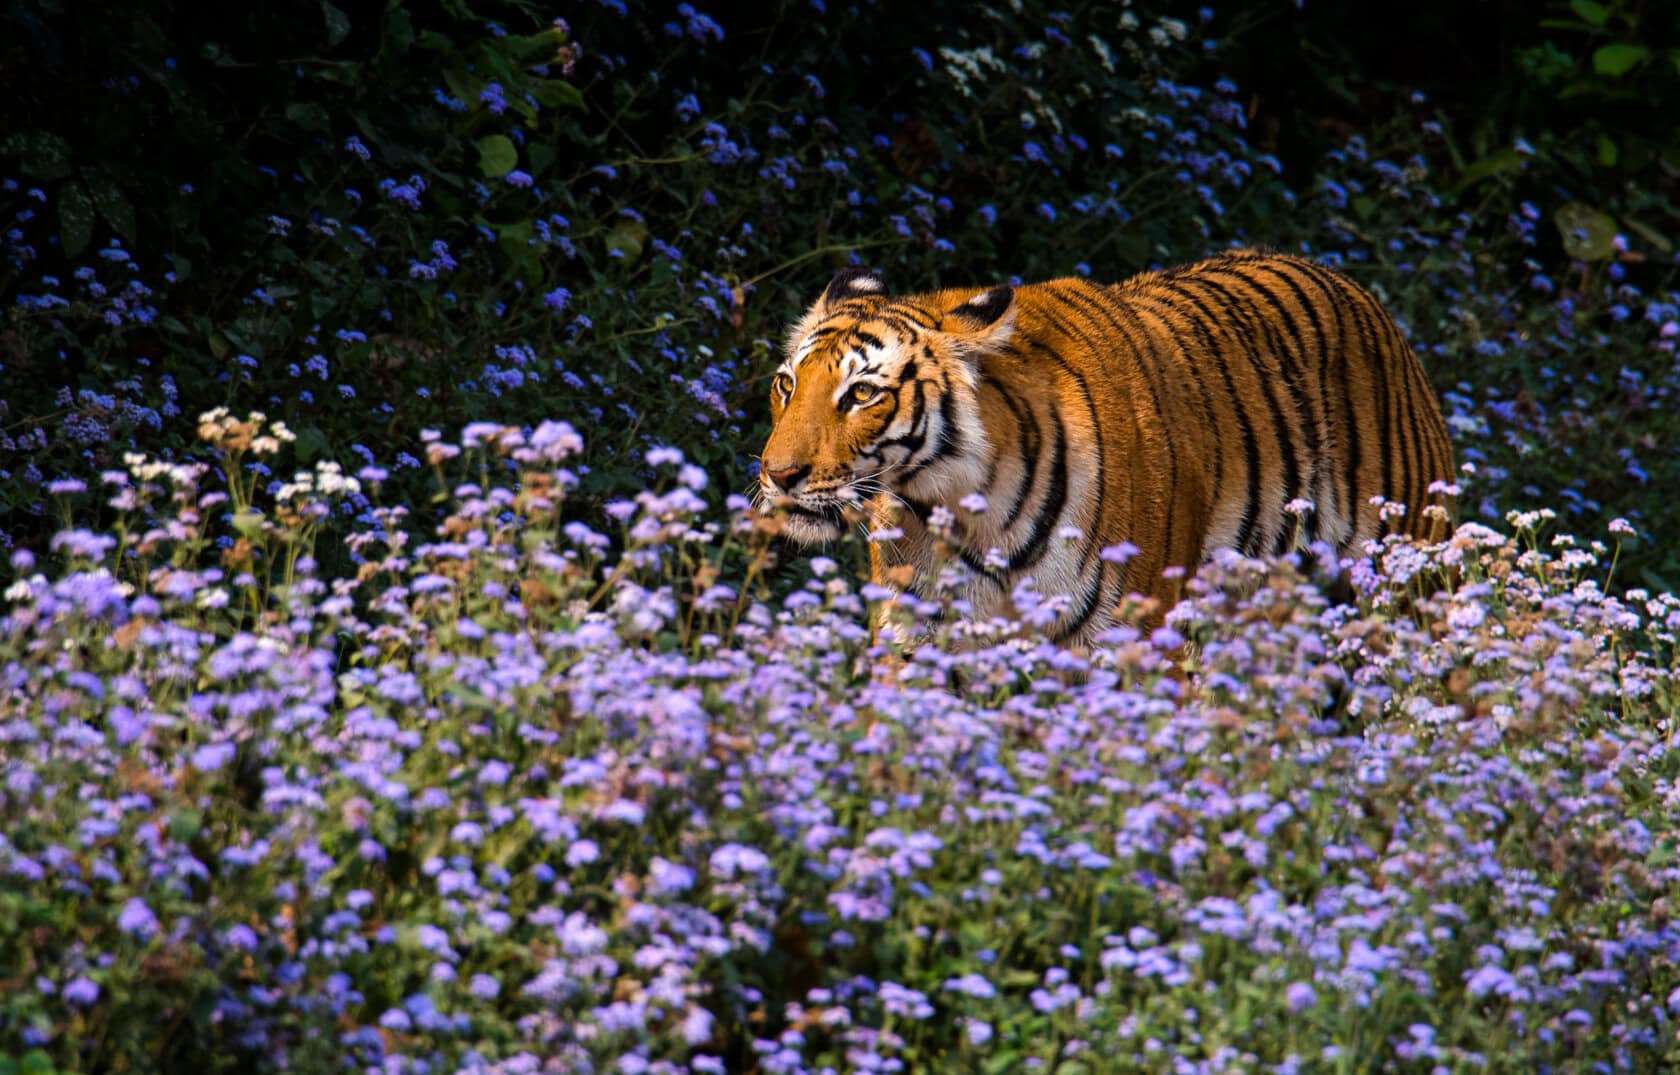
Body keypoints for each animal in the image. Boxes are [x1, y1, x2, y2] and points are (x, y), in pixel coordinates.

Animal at [757, 249, 1456, 646]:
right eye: (787, 384)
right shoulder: (917, 631)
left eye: (861, 394)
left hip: (1412, 583)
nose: (777, 475)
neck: (962, 506)